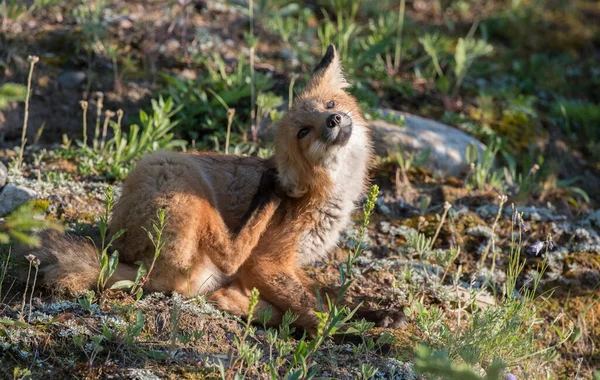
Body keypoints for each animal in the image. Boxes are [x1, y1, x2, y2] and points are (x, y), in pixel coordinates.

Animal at [29, 46, 376, 334]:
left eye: (330, 104)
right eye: (304, 132)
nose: (334, 119)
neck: (327, 196)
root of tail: (127, 256)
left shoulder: (292, 265)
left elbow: (323, 293)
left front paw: (364, 310)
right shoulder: (267, 262)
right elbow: (310, 307)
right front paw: (346, 330)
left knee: (221, 291)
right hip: (177, 170)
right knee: (227, 261)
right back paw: (266, 197)